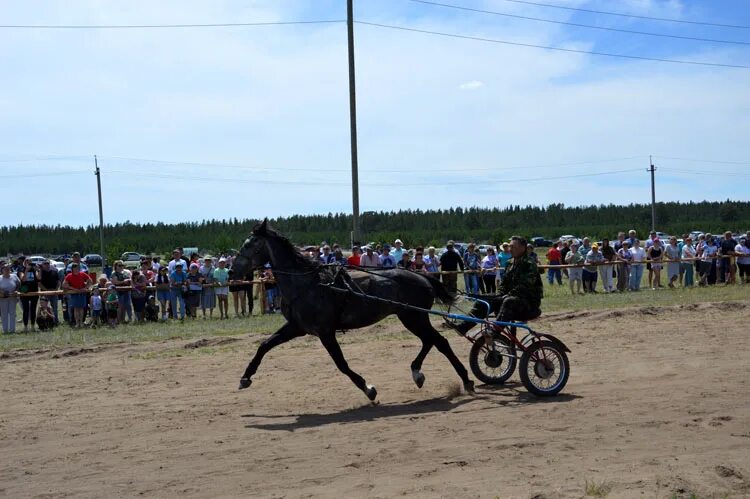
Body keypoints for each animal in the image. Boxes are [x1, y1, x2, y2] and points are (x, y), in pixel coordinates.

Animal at [232, 221, 472, 400]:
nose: (234, 269)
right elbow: (264, 345)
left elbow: (341, 364)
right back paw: (418, 372)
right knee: (431, 341)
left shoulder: (325, 332)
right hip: (412, 317)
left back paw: (465, 380)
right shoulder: (297, 327)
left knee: (439, 342)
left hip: (414, 317)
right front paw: (245, 377)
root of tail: (422, 276)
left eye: (251, 244)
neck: (307, 284)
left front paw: (368, 389)